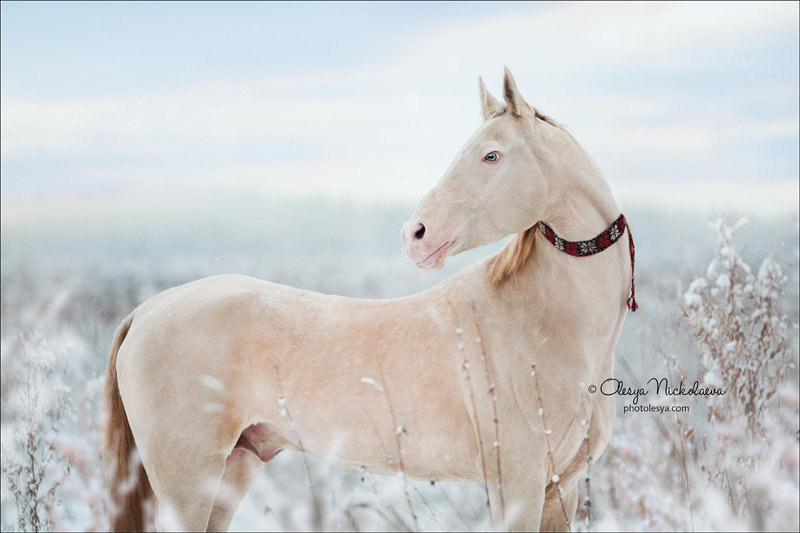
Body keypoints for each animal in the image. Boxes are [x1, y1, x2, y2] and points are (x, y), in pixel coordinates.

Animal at [104, 68, 632, 528]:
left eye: (492, 156)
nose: (415, 235)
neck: (546, 323)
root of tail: (145, 311)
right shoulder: (517, 487)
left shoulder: (559, 489)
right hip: (189, 485)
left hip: (232, 471)